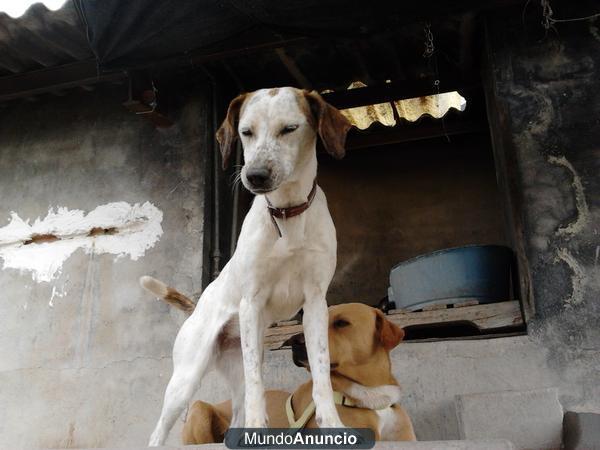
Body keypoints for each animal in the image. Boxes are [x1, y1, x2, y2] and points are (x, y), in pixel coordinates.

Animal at [141, 278, 414, 442]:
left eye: (341, 323)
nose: (293, 340)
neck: (371, 396)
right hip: (189, 392)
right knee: (158, 432)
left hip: (244, 382)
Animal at [147, 86, 352, 444]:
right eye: (246, 132)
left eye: (289, 129)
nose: (254, 176)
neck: (286, 214)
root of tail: (196, 308)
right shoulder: (252, 302)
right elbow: (259, 387)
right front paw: (260, 423)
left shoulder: (315, 303)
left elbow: (322, 375)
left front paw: (332, 424)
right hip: (186, 379)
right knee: (158, 431)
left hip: (237, 365)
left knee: (237, 413)